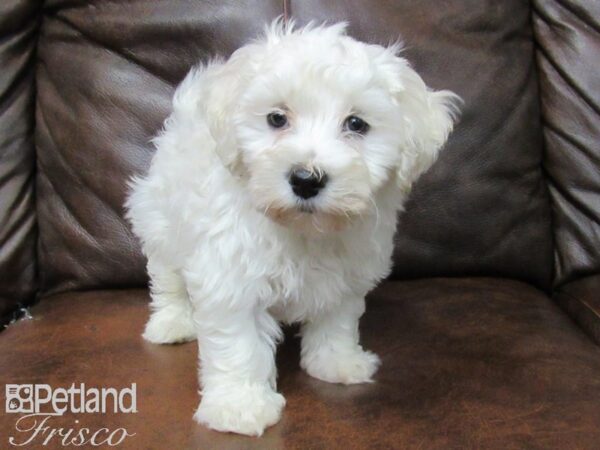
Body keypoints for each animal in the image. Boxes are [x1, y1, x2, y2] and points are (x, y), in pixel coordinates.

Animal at [125, 20, 454, 436]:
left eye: (356, 124)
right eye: (277, 119)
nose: (306, 179)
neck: (305, 229)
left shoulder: (347, 272)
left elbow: (337, 319)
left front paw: (336, 361)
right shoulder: (232, 276)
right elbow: (239, 343)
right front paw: (239, 406)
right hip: (161, 219)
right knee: (166, 276)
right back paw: (171, 323)